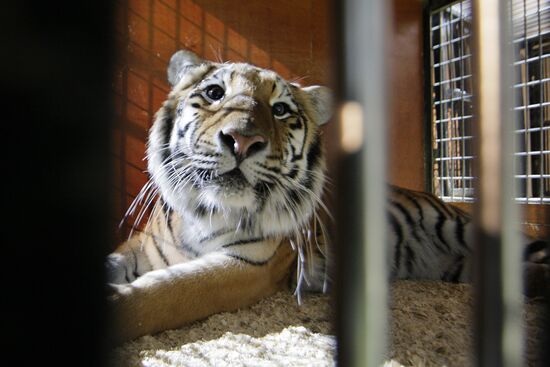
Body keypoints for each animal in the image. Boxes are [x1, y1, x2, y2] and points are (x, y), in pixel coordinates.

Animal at [108, 49, 550, 344]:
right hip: (459, 270)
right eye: (215, 93)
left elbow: (167, 292)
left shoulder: (248, 266)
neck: (205, 212)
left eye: (280, 109)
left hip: (471, 231)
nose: (242, 140)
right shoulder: (142, 246)